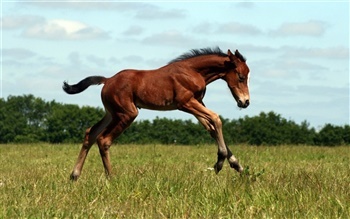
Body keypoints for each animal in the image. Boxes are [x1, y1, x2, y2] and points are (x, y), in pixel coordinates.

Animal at [62, 47, 249, 181]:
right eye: (241, 76)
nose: (245, 102)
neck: (192, 71)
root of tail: (107, 80)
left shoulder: (197, 102)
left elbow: (211, 127)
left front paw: (237, 165)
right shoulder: (185, 103)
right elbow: (216, 119)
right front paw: (220, 163)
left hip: (111, 113)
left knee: (91, 133)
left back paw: (75, 175)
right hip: (127, 113)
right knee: (104, 139)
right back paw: (111, 178)